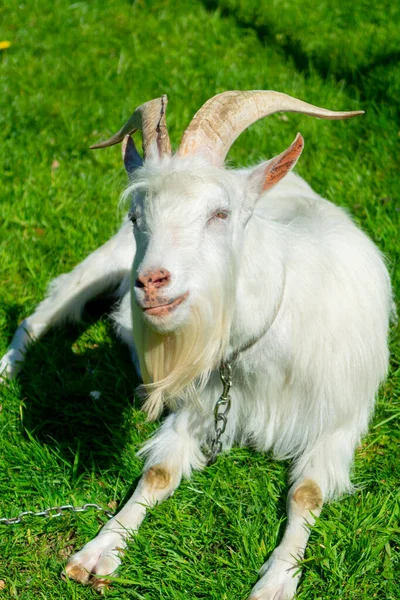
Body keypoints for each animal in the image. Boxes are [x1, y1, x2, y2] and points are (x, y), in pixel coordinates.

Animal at [0, 90, 394, 600]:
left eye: (220, 213)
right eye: (137, 215)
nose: (151, 281)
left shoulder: (339, 421)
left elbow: (307, 493)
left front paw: (277, 580)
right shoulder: (197, 407)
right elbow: (159, 473)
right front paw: (99, 550)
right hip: (106, 262)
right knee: (45, 311)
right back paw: (8, 366)